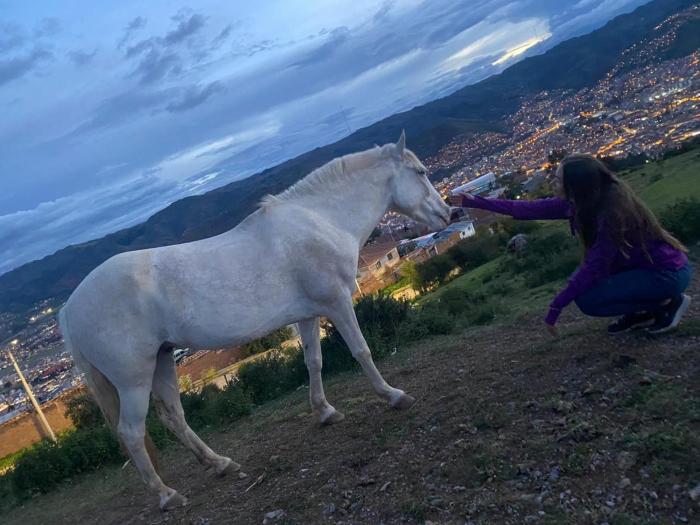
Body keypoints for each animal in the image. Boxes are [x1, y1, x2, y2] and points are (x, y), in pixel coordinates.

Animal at [59, 131, 450, 509]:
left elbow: (314, 361)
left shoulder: (308, 314)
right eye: (420, 173)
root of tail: (69, 309)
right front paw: (394, 395)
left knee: (174, 417)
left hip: (162, 359)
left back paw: (221, 464)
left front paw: (325, 411)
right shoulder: (337, 303)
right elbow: (361, 351)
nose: (447, 213)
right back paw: (166, 495)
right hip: (133, 379)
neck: (320, 219)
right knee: (131, 432)